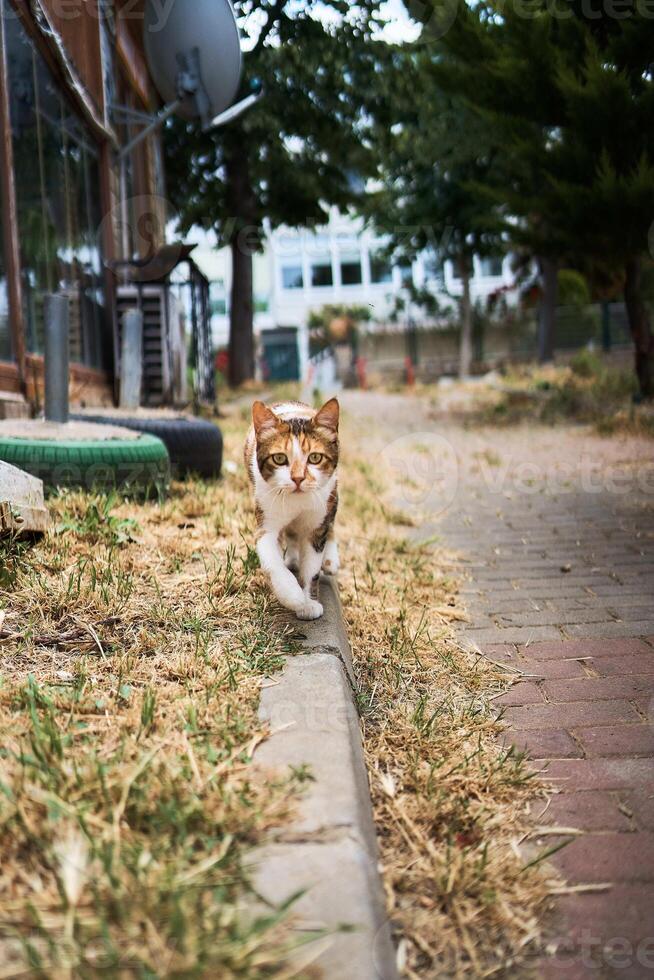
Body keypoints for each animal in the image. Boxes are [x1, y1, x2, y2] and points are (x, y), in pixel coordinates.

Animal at [243, 398, 340, 620]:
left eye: (315, 458)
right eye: (279, 458)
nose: (297, 478)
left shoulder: (318, 519)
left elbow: (312, 565)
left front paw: (308, 602)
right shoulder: (266, 520)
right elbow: (271, 559)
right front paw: (292, 595)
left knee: (330, 523)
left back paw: (330, 559)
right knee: (293, 533)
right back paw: (293, 558)